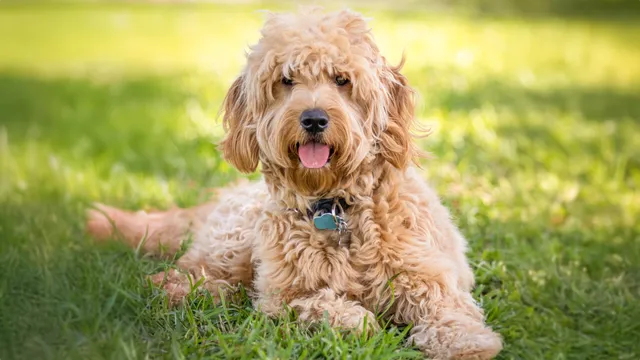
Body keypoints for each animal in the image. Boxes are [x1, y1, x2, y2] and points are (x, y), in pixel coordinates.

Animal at [86, 8, 504, 360]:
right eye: (286, 80)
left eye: (342, 80)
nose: (314, 118)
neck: (334, 206)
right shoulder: (281, 295)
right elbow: (317, 304)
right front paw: (354, 318)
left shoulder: (429, 275)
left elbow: (447, 308)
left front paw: (466, 342)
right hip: (234, 240)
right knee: (177, 274)